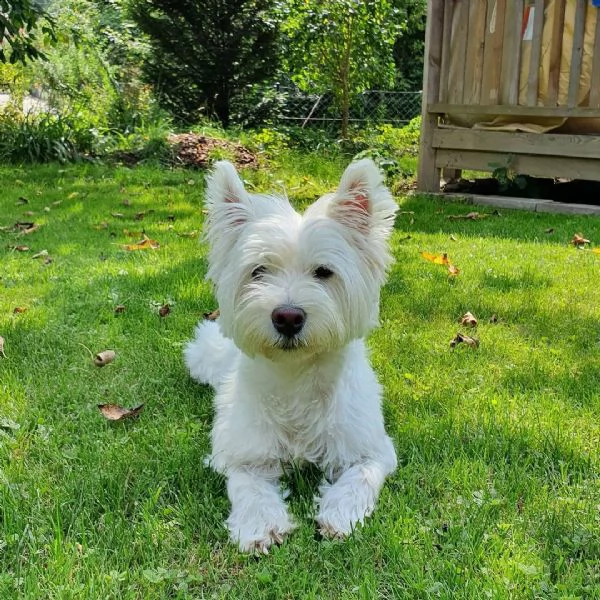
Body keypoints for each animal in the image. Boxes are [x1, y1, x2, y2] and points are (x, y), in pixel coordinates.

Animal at [183, 158, 398, 552]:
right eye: (258, 270)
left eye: (324, 272)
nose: (287, 317)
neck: (295, 377)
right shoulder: (242, 453)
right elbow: (248, 485)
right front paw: (259, 524)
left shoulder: (371, 447)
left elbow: (361, 476)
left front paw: (339, 515)